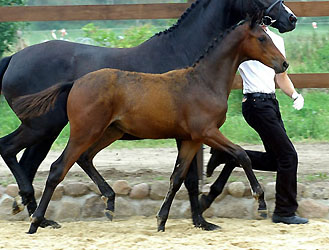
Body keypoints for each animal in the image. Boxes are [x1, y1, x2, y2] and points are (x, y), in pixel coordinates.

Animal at [0, 0, 296, 229]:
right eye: (262, 38)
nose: (291, 19)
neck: (201, 76)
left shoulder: (191, 137)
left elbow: (182, 176)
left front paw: (185, 219)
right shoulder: (203, 132)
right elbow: (230, 159)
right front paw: (252, 203)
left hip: (96, 131)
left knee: (54, 160)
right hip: (58, 128)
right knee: (37, 161)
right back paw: (37, 218)